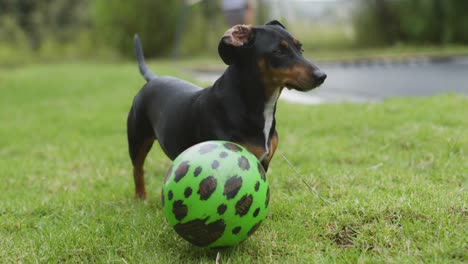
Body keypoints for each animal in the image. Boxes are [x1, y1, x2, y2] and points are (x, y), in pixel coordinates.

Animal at [127, 20, 326, 198]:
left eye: (300, 48)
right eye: (279, 51)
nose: (321, 76)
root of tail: (153, 79)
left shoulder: (263, 163)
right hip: (137, 141)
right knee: (137, 169)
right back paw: (140, 197)